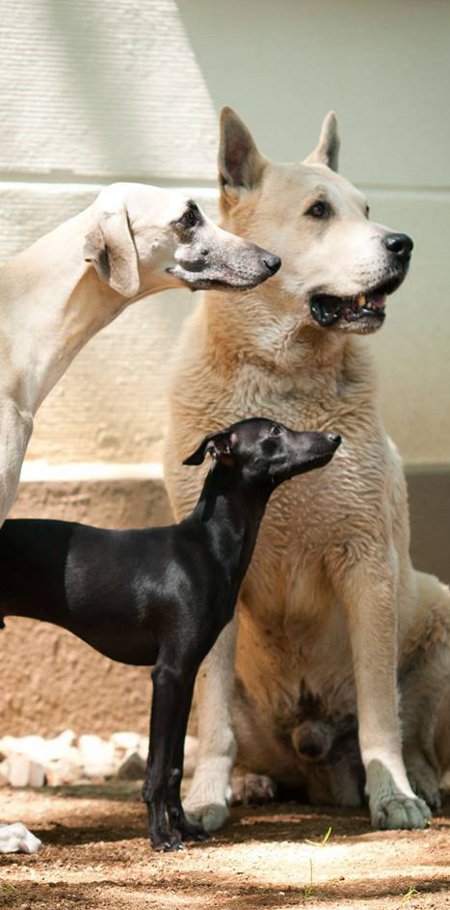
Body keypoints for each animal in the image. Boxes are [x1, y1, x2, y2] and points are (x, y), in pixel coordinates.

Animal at [0, 418, 340, 851]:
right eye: (274, 432)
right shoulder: (168, 674)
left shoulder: (187, 674)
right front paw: (160, 835)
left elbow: (176, 766)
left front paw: (186, 827)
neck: (205, 546)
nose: (334, 438)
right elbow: (157, 768)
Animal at [164, 108, 450, 832]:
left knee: (416, 731)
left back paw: (418, 780)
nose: (404, 244)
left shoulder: (367, 563)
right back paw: (252, 780)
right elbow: (211, 714)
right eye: (319, 211)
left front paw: (392, 794)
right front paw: (205, 797)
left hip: (439, 611)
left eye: (368, 208)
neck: (282, 378)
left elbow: (381, 709)